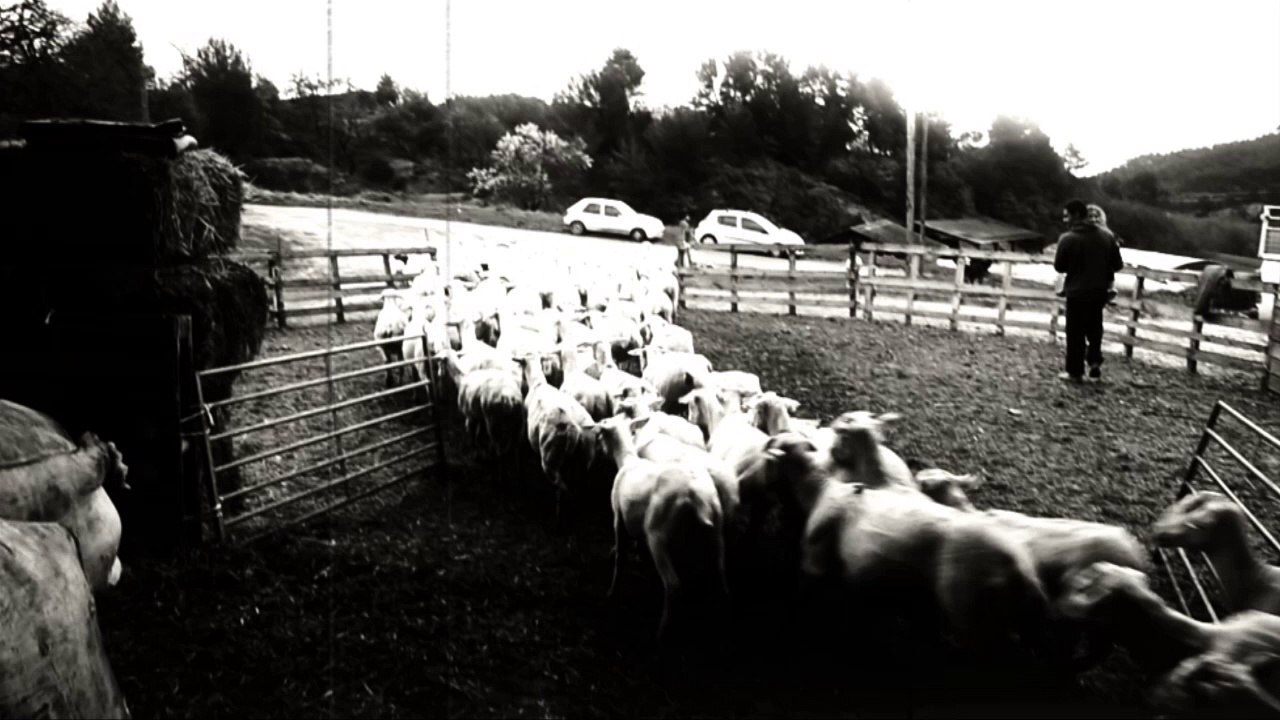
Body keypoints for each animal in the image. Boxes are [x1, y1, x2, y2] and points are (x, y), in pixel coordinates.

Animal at [597, 416, 728, 643]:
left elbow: (620, 556)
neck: (627, 460)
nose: (600, 450)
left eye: (602, 435)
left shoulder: (618, 517)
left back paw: (661, 633)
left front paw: (612, 592)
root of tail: (699, 500)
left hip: (658, 536)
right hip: (716, 534)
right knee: (721, 579)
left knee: (674, 586)